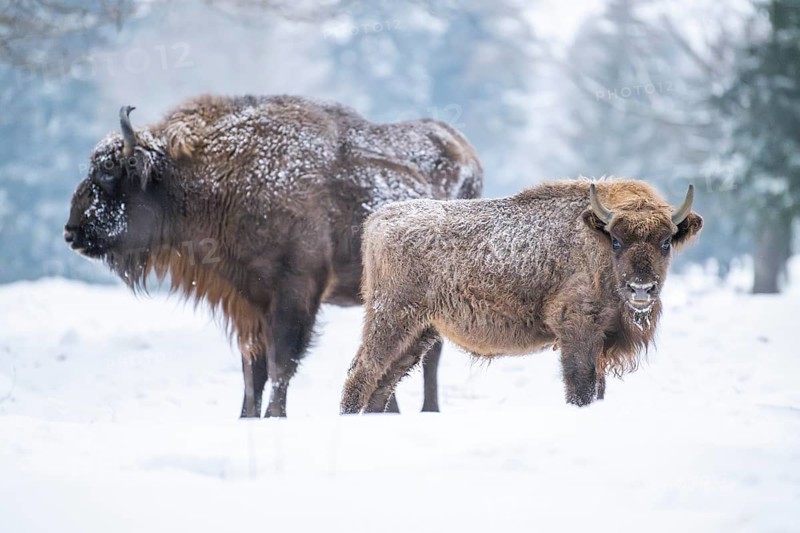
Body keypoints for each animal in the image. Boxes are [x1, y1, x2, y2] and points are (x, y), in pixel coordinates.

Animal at [64, 94, 482, 417]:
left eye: (109, 173)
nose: (71, 232)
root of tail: (464, 150)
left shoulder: (295, 293)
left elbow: (282, 363)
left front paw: (274, 416)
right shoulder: (248, 302)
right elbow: (254, 369)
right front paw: (246, 417)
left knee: (430, 356)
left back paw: (428, 411)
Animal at [341, 179, 702, 413]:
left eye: (666, 242)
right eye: (616, 240)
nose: (641, 289)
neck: (594, 236)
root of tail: (379, 219)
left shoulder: (601, 340)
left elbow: (597, 388)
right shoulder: (578, 330)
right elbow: (581, 385)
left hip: (420, 332)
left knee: (384, 382)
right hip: (392, 318)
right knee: (362, 373)